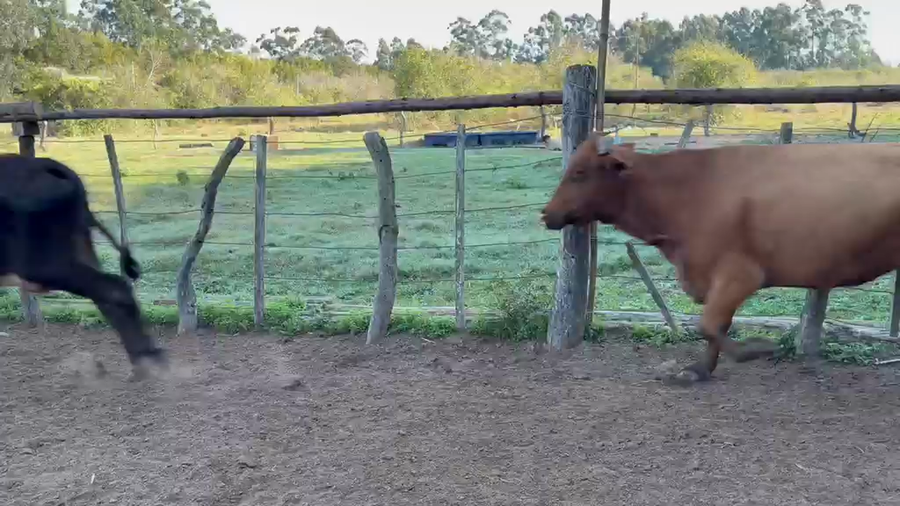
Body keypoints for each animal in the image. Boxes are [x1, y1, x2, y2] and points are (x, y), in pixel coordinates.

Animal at [0, 154, 167, 380]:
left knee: (114, 289)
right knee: (110, 296)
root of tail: (45, 163)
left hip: (44, 265)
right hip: (79, 249)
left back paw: (146, 359)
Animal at [541, 132, 900, 385]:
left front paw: (758, 348)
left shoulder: (740, 274)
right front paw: (700, 370)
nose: (546, 213)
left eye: (579, 172)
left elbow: (709, 324)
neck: (691, 192)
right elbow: (715, 326)